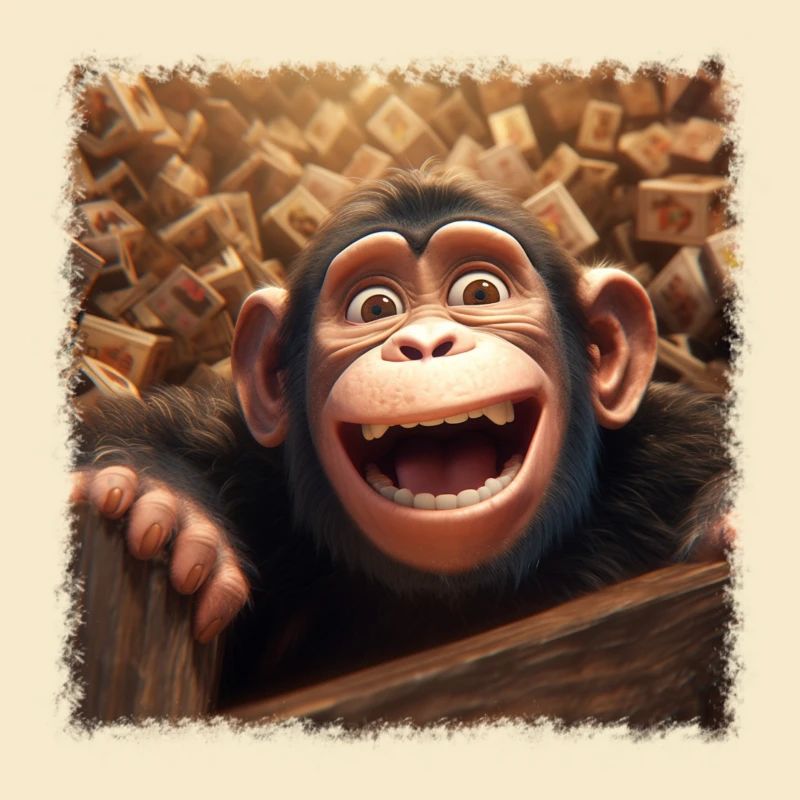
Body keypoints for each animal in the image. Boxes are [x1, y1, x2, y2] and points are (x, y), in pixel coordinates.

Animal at [72, 168, 733, 702]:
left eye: (481, 292)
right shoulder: (235, 450)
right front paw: (161, 504)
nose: (426, 343)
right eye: (375, 307)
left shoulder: (676, 446)